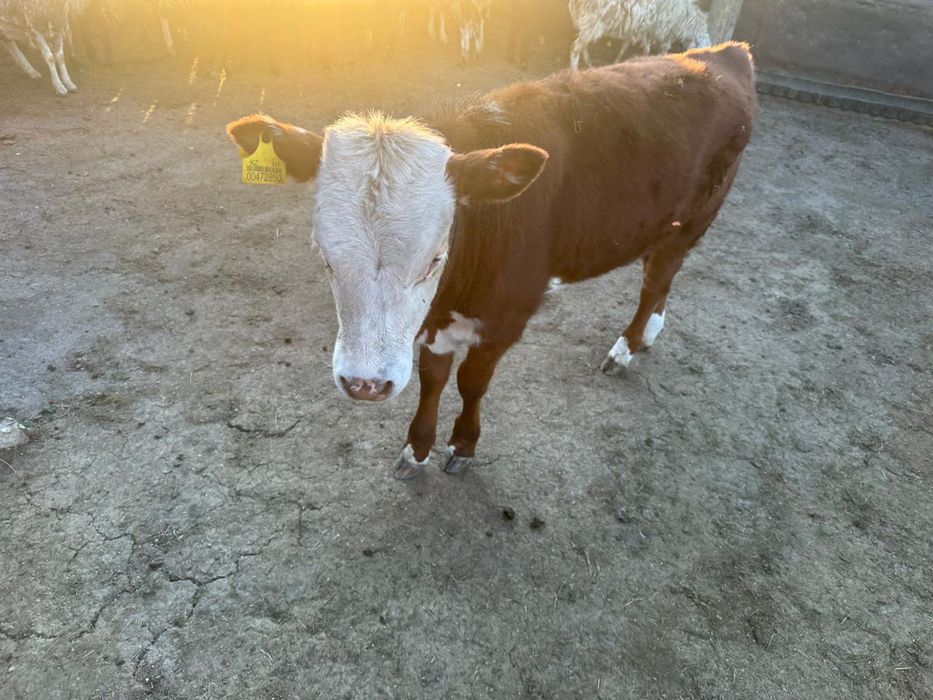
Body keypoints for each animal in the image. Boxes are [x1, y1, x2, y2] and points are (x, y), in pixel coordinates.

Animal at [226, 42, 757, 479]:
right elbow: (433, 379)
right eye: (326, 256)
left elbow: (471, 383)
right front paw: (417, 448)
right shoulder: (434, 323)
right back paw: (649, 333)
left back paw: (627, 346)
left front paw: (463, 445)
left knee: (655, 281)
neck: (456, 291)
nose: (366, 384)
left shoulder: (506, 316)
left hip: (693, 220)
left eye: (434, 259)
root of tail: (725, 53)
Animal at [569, 0, 711, 70]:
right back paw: (574, 71)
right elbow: (661, 50)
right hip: (594, 21)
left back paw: (589, 65)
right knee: (575, 48)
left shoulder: (641, 29)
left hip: (587, 22)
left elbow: (628, 46)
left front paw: (617, 61)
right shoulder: (662, 31)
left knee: (582, 46)